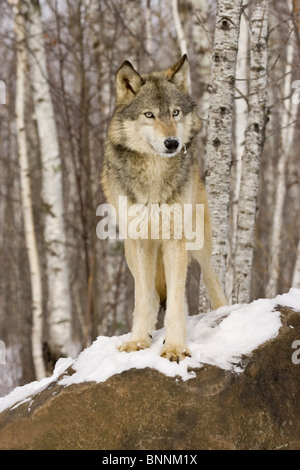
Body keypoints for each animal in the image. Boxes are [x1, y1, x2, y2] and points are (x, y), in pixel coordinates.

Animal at [102, 56, 226, 364]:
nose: (172, 143)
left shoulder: (175, 238)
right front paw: (137, 341)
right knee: (155, 295)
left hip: (198, 242)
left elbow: (177, 301)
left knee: (210, 279)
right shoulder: (139, 240)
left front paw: (175, 347)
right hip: (131, 253)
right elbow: (143, 299)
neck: (153, 174)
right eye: (149, 115)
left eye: (175, 112)